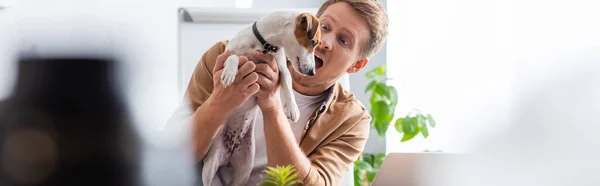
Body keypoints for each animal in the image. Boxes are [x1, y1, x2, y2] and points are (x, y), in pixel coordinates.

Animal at [202, 11, 322, 186]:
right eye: (313, 42)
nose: (313, 72)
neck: (265, 45)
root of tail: (229, 155)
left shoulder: (280, 67)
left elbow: (287, 82)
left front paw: (292, 108)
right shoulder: (227, 55)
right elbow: (233, 58)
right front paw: (229, 73)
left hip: (244, 169)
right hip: (209, 167)